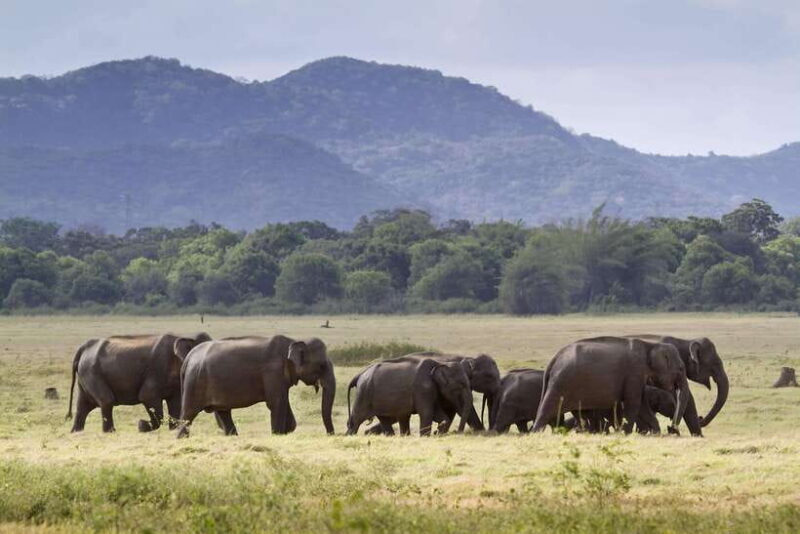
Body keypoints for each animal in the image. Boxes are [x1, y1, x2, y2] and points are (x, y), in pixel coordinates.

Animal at [66, 332, 212, 433]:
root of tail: (83, 348)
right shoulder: (156, 371)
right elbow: (147, 397)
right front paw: (141, 425)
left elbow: (175, 404)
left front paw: (172, 430)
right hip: (92, 373)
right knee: (106, 401)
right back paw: (110, 432)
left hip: (86, 376)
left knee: (82, 406)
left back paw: (76, 432)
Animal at [175, 335, 335, 438]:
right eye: (321, 366)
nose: (331, 435)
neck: (293, 340)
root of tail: (188, 358)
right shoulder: (273, 372)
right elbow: (276, 403)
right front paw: (277, 435)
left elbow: (283, 403)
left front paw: (286, 431)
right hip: (195, 383)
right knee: (188, 415)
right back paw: (181, 439)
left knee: (223, 412)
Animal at [363, 352, 501, 434]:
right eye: (490, 376)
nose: (457, 432)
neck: (468, 357)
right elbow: (461, 408)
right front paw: (480, 431)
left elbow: (452, 410)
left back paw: (369, 432)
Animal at [531, 336, 690, 434]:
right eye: (681, 368)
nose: (671, 428)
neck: (650, 345)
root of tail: (554, 359)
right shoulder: (634, 372)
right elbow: (634, 404)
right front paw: (626, 433)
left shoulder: (638, 378)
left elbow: (643, 405)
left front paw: (656, 433)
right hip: (560, 383)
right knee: (546, 411)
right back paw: (535, 434)